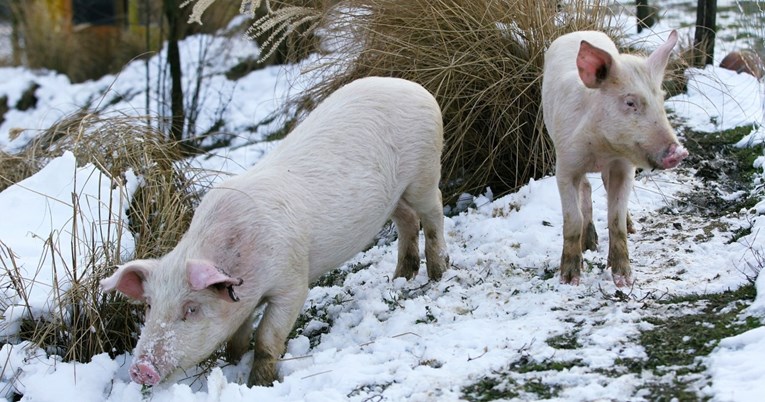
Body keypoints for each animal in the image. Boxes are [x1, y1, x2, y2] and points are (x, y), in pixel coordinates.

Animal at [100, 75, 448, 386]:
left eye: (191, 309)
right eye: (149, 306)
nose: (141, 369)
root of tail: (415, 87)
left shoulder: (292, 282)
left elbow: (268, 337)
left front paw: (257, 383)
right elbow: (238, 336)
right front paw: (232, 361)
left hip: (424, 172)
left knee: (434, 210)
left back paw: (437, 272)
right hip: (392, 199)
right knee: (407, 219)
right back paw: (401, 277)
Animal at [540, 29, 688, 286]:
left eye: (661, 99)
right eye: (630, 102)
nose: (678, 152)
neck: (601, 149)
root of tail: (579, 32)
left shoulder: (623, 167)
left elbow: (615, 221)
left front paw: (624, 279)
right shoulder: (566, 164)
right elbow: (572, 219)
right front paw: (569, 280)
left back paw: (631, 228)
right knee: (587, 188)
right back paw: (589, 244)